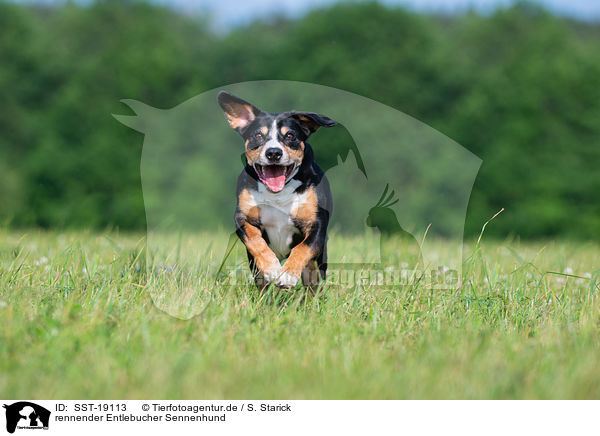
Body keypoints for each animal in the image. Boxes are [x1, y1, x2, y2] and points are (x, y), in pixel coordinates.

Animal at [217, 91, 338, 290]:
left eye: (290, 135)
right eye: (258, 135)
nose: (273, 152)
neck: (278, 195)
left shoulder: (317, 223)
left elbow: (302, 248)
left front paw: (287, 275)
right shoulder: (242, 218)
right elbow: (255, 241)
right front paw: (272, 268)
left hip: (318, 263)